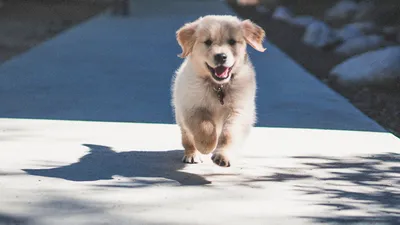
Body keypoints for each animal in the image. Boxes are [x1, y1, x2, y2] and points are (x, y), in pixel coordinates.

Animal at [171, 14, 266, 166]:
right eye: (208, 42)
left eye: (232, 41)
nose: (221, 56)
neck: (218, 86)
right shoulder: (192, 107)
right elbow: (205, 126)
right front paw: (206, 146)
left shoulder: (238, 110)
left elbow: (229, 134)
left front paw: (223, 156)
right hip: (180, 116)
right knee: (187, 138)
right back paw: (192, 154)